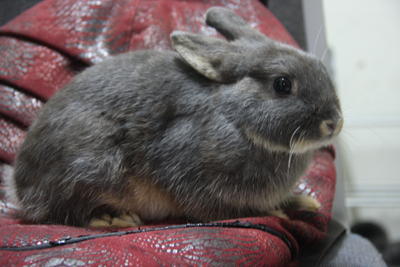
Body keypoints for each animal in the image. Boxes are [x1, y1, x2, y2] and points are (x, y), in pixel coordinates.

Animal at [7, 7, 342, 227]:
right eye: (282, 84)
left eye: (321, 69)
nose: (334, 123)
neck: (234, 116)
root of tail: (20, 188)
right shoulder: (192, 174)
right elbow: (225, 210)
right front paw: (273, 213)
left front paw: (302, 201)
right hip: (91, 164)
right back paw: (112, 218)